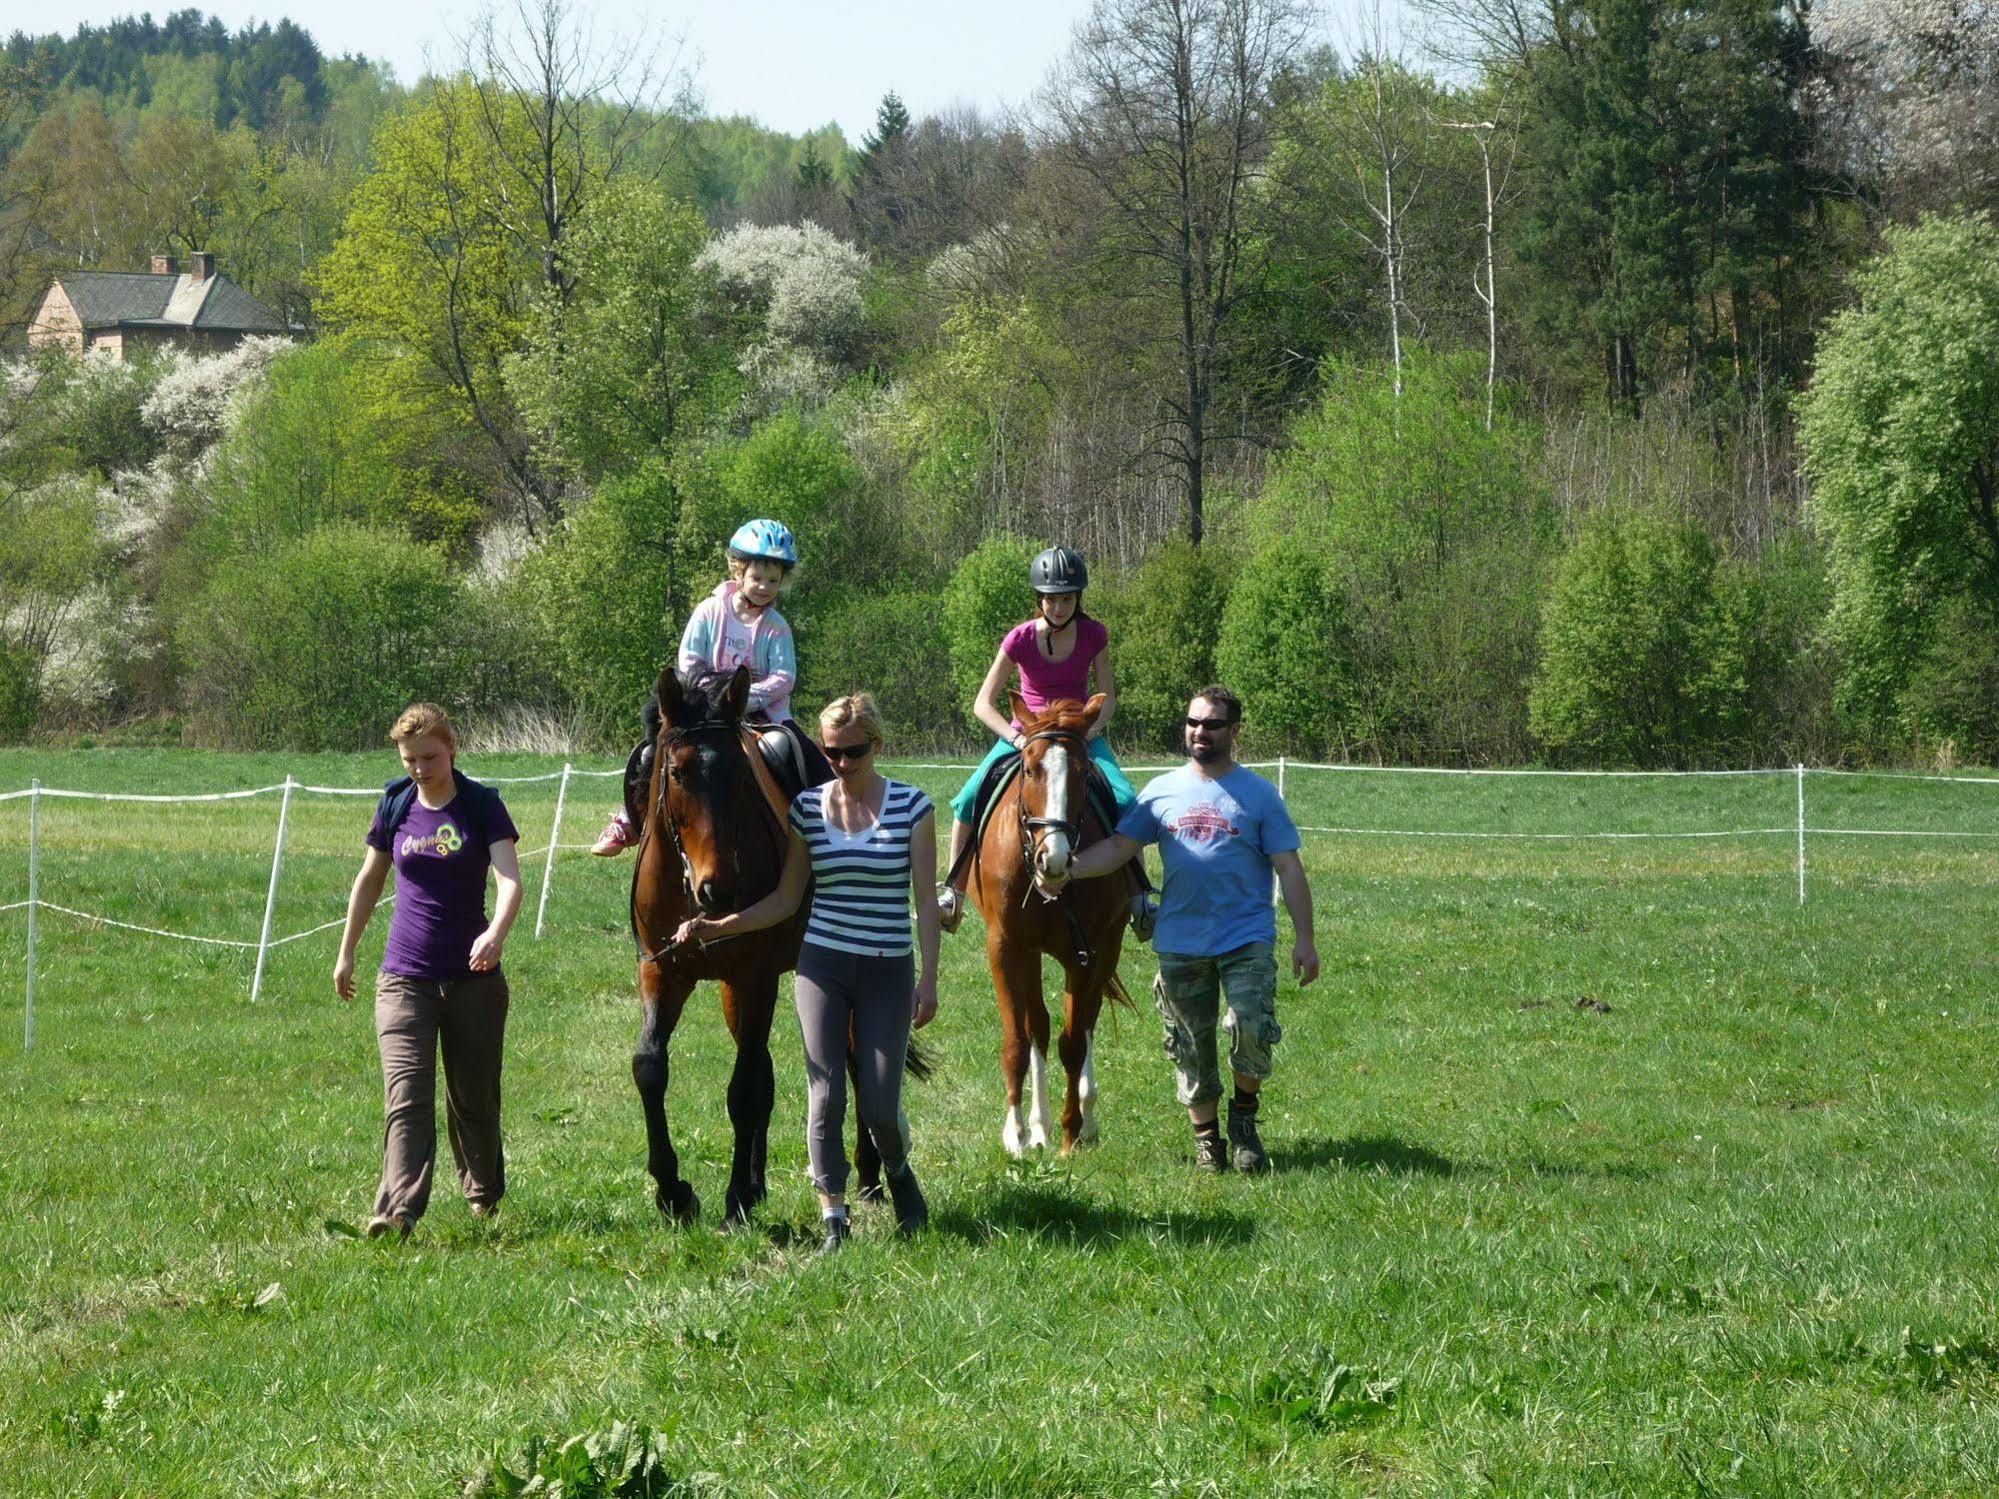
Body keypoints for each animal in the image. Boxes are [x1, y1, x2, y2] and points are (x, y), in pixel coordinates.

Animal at [963, 687, 1135, 1159]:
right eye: (1028, 767)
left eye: (1084, 774)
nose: (1053, 859)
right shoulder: (1006, 948)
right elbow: (1018, 1041)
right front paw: (1017, 1134)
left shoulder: (1085, 951)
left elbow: (1073, 1042)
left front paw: (1070, 1134)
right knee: (1036, 1026)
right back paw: (1037, 1127)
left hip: (1106, 948)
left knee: (1087, 1021)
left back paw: (1086, 1118)